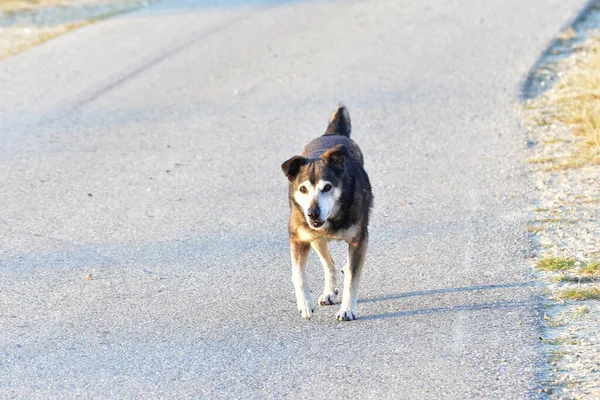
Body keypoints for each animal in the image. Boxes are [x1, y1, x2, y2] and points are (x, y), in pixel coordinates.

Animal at [280, 104, 370, 322]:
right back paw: (329, 292)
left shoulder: (359, 240)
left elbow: (352, 277)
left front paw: (347, 309)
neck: (332, 217)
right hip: (315, 238)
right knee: (329, 263)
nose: (312, 213)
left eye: (327, 187)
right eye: (303, 189)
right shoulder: (298, 238)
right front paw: (305, 304)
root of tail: (332, 133)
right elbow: (298, 274)